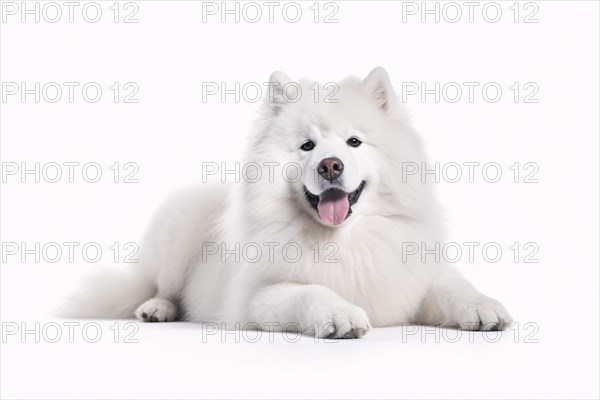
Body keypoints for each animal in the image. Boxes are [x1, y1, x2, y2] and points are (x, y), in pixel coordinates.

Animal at [65, 68, 510, 338]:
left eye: (353, 142)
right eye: (307, 146)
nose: (330, 165)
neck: (345, 241)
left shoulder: (411, 277)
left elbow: (452, 285)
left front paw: (484, 308)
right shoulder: (258, 296)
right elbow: (310, 291)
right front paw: (340, 315)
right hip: (178, 227)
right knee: (159, 286)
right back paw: (157, 309)